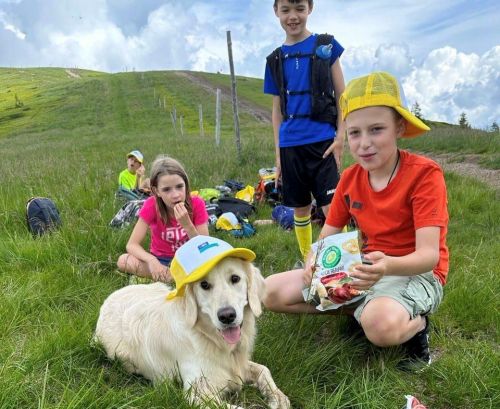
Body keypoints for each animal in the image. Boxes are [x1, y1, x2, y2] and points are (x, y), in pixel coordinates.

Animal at [94, 253, 290, 406]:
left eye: (235, 278)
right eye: (204, 285)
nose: (227, 316)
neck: (211, 338)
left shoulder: (239, 367)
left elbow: (264, 369)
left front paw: (278, 398)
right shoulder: (198, 393)